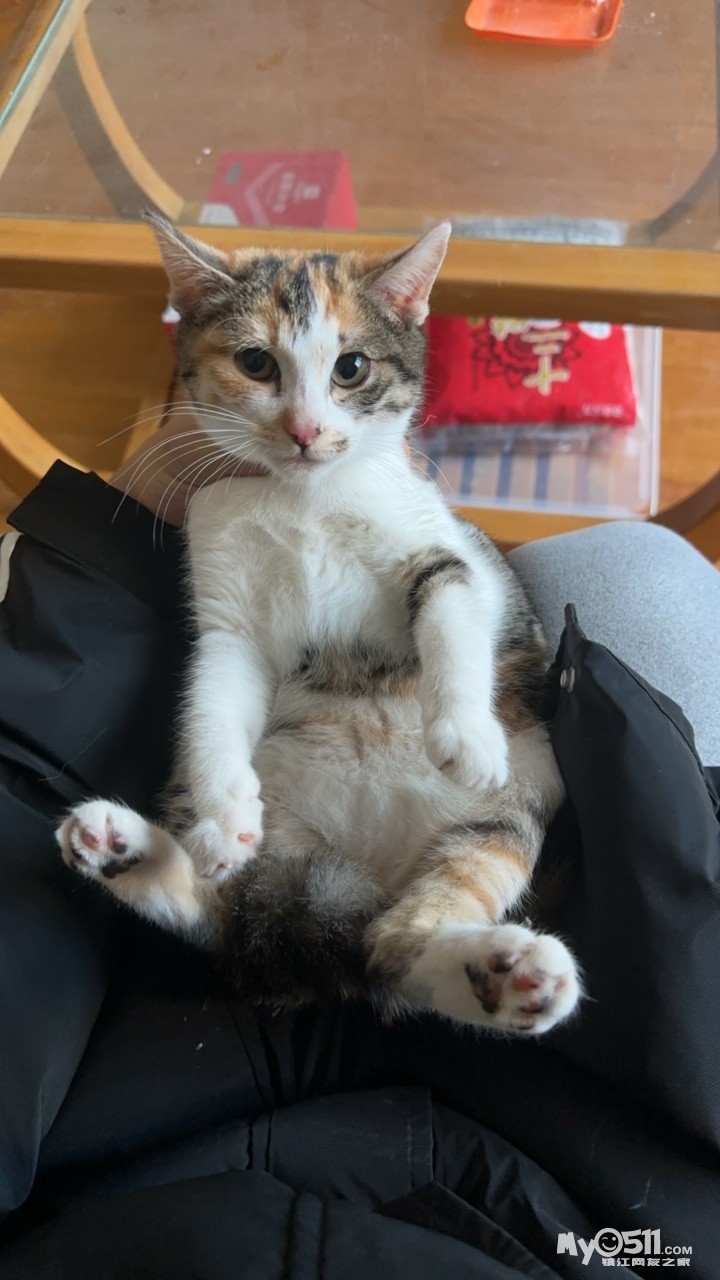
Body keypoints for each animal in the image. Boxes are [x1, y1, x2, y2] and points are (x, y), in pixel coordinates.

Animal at [57, 215, 581, 1034]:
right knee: (241, 920)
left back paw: (512, 976)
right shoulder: (229, 618)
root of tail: (349, 874)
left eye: (351, 368)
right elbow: (214, 700)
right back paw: (122, 847)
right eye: (255, 362)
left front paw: (465, 734)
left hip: (509, 814)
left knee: (401, 942)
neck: (300, 493)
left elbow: (453, 607)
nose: (305, 429)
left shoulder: (454, 553)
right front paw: (225, 812)